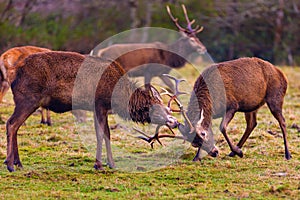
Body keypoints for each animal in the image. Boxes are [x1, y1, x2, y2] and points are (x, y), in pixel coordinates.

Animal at [4, 51, 178, 172]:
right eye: (159, 110)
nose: (175, 122)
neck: (119, 97)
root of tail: (14, 73)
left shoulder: (97, 108)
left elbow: (105, 133)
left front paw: (110, 163)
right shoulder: (100, 103)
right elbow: (101, 133)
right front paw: (99, 165)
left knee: (15, 126)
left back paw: (18, 163)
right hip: (28, 99)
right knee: (11, 123)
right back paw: (10, 164)